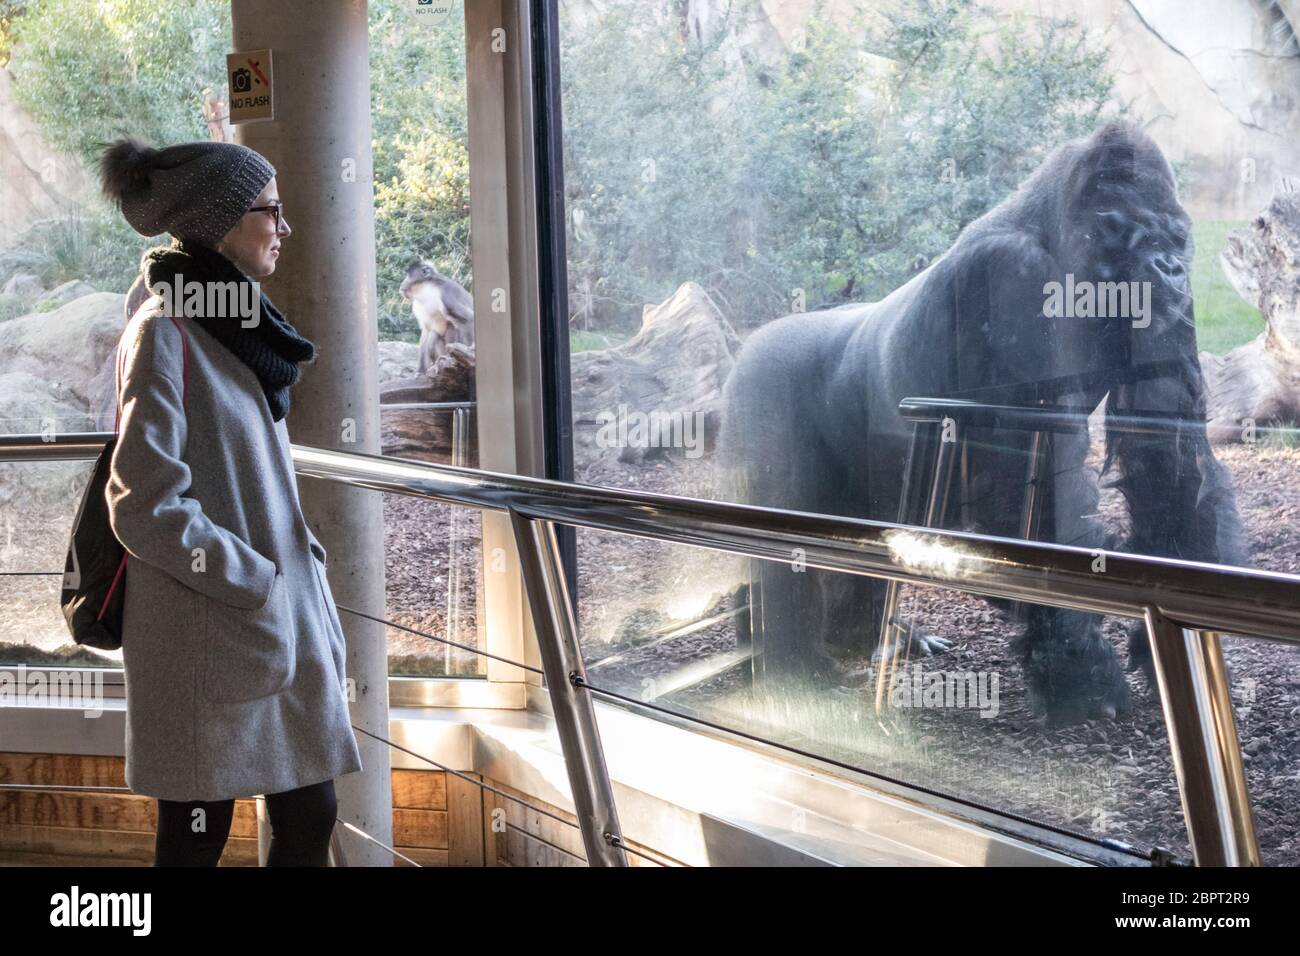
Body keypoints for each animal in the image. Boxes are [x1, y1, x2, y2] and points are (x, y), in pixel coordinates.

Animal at [717, 122, 1244, 726]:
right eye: (1138, 236)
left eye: (1176, 239)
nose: (1173, 268)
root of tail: (747, 345)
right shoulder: (1011, 275)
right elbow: (1026, 490)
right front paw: (1083, 678)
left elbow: (1166, 455)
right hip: (759, 389)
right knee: (782, 533)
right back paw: (790, 668)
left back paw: (871, 637)